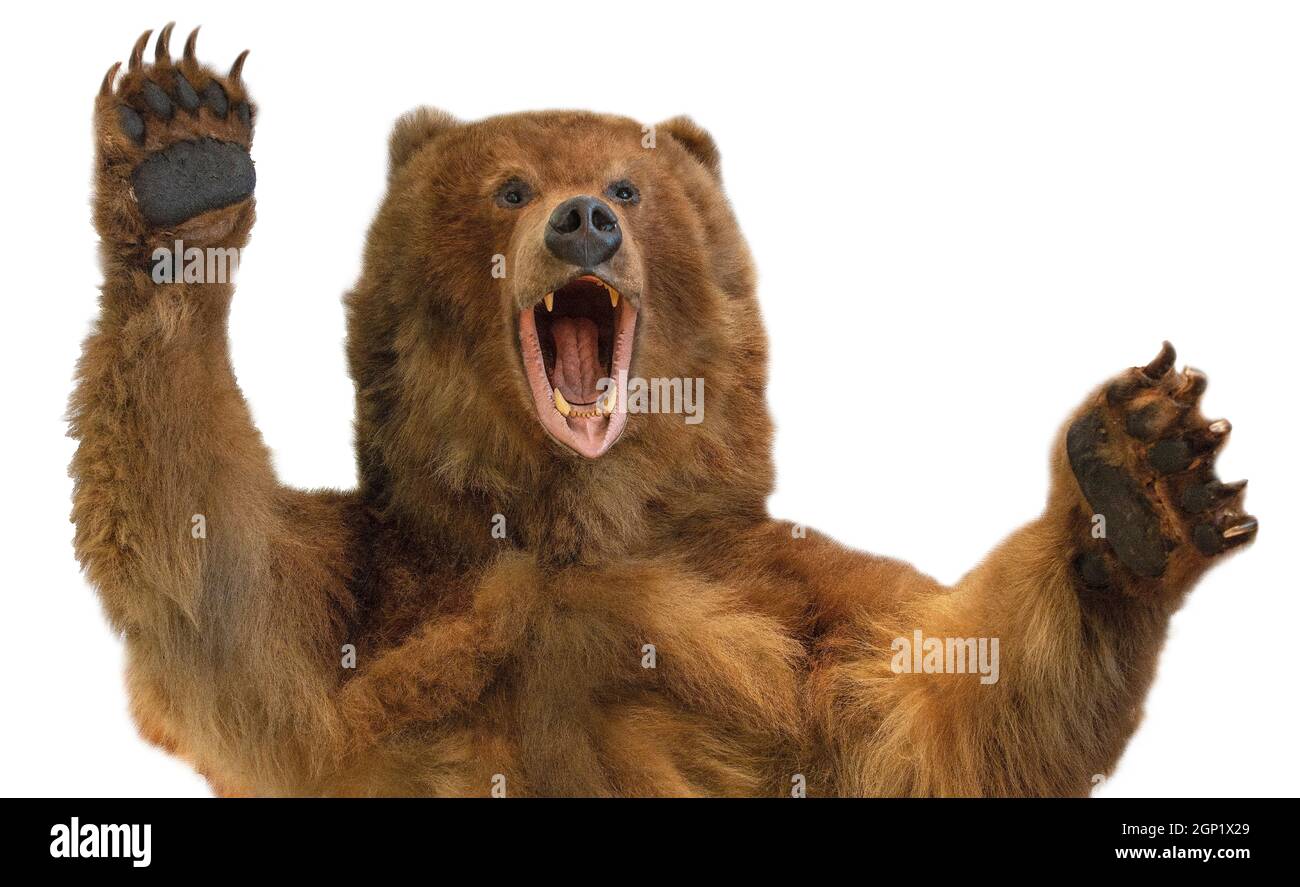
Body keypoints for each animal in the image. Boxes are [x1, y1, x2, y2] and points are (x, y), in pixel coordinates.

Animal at [70, 25, 1258, 797]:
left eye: (627, 187)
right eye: (509, 186)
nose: (582, 221)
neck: (573, 513)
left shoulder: (785, 603)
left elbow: (933, 718)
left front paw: (1140, 479)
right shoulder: (385, 594)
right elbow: (227, 598)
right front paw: (182, 154)